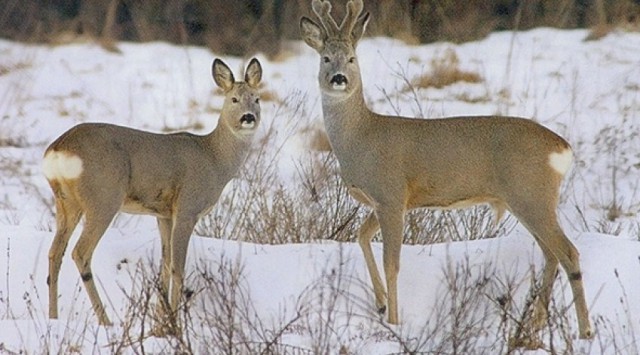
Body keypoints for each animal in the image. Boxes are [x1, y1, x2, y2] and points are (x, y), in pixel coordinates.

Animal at [43, 57, 262, 328]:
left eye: (257, 98)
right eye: (233, 99)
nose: (248, 117)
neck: (214, 159)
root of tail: (58, 150)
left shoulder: (163, 214)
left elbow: (165, 265)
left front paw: (161, 320)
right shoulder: (187, 208)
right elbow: (178, 267)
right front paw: (176, 324)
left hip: (65, 202)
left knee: (55, 253)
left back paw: (53, 317)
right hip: (103, 197)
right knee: (80, 252)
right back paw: (106, 321)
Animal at [302, 0, 596, 340]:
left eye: (352, 58)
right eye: (325, 58)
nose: (339, 78)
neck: (360, 137)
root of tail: (563, 148)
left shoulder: (390, 193)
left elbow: (392, 262)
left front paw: (394, 321)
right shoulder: (386, 201)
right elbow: (361, 237)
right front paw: (380, 304)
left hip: (531, 194)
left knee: (568, 252)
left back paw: (584, 331)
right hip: (525, 200)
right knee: (551, 255)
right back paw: (531, 327)